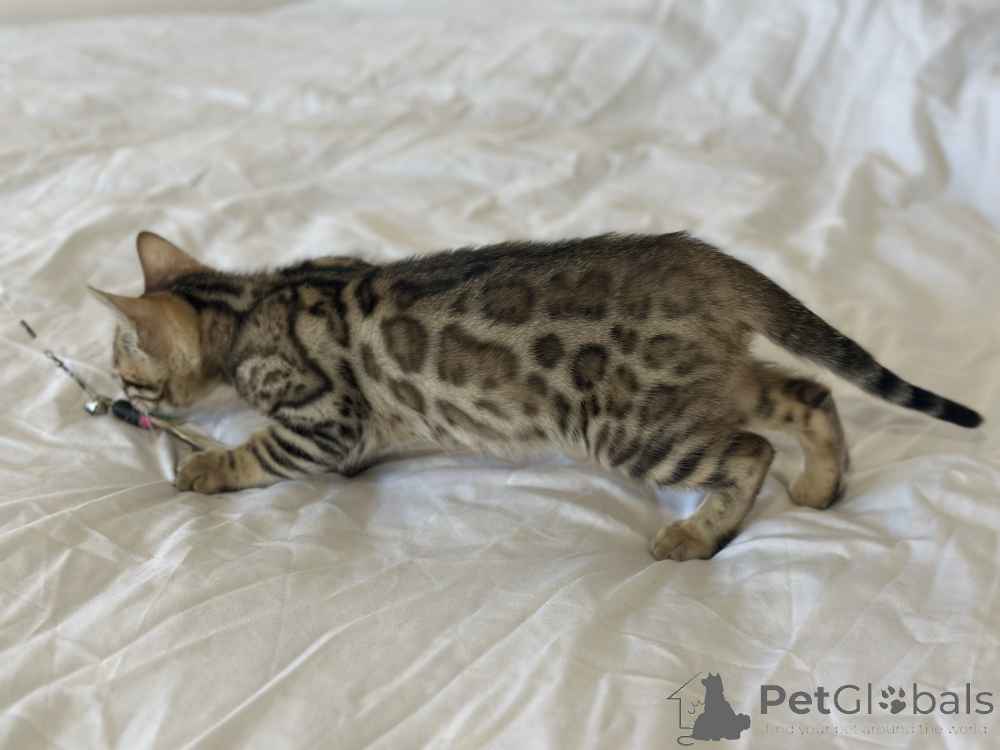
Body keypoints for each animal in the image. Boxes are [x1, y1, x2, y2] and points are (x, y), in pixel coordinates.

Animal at [91, 231, 982, 561]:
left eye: (125, 367)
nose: (111, 391)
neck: (246, 305)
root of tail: (701, 258)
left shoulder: (320, 423)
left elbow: (256, 450)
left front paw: (205, 467)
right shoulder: (352, 441)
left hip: (632, 424)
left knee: (751, 448)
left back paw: (697, 535)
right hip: (708, 383)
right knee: (806, 393)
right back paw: (822, 485)